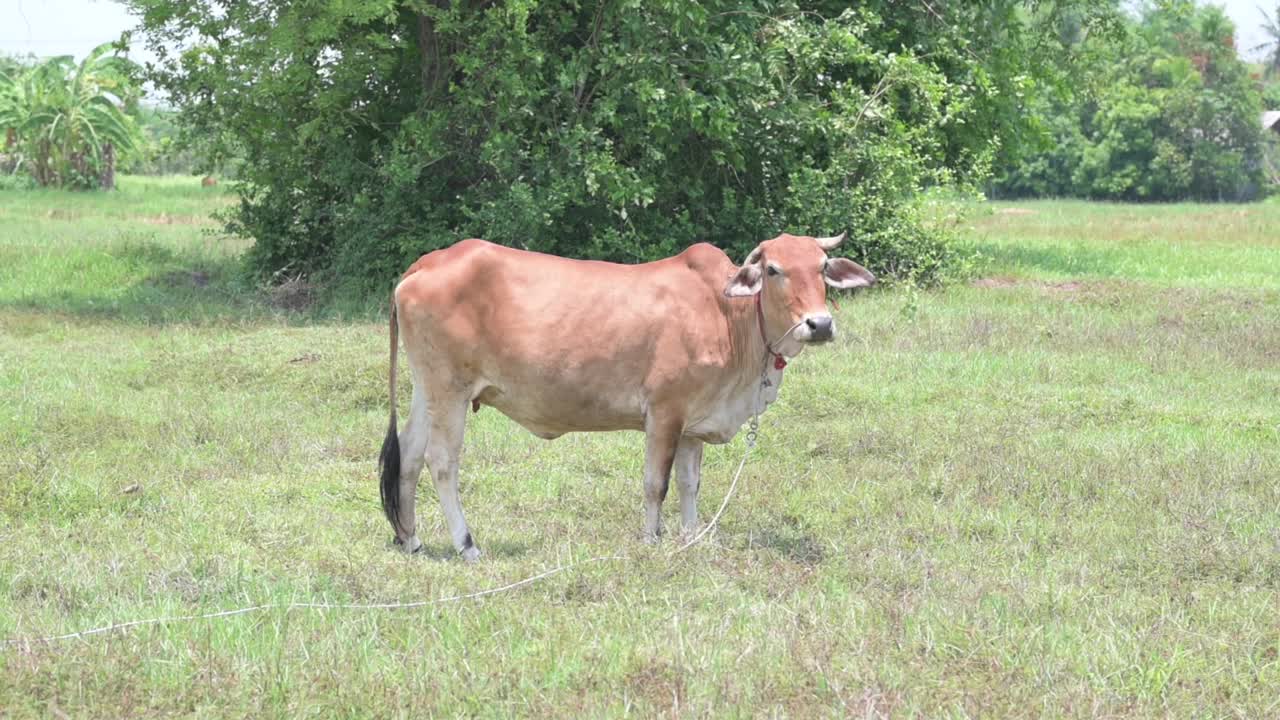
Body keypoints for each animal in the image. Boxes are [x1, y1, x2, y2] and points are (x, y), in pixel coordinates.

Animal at [378, 229, 875, 556]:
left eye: (822, 268)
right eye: (773, 269)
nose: (819, 324)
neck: (725, 314)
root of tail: (429, 261)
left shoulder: (693, 424)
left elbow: (690, 484)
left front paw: (691, 537)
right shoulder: (664, 412)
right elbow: (656, 484)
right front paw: (652, 540)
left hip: (427, 389)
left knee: (410, 454)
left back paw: (412, 539)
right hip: (451, 390)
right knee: (442, 462)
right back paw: (467, 545)